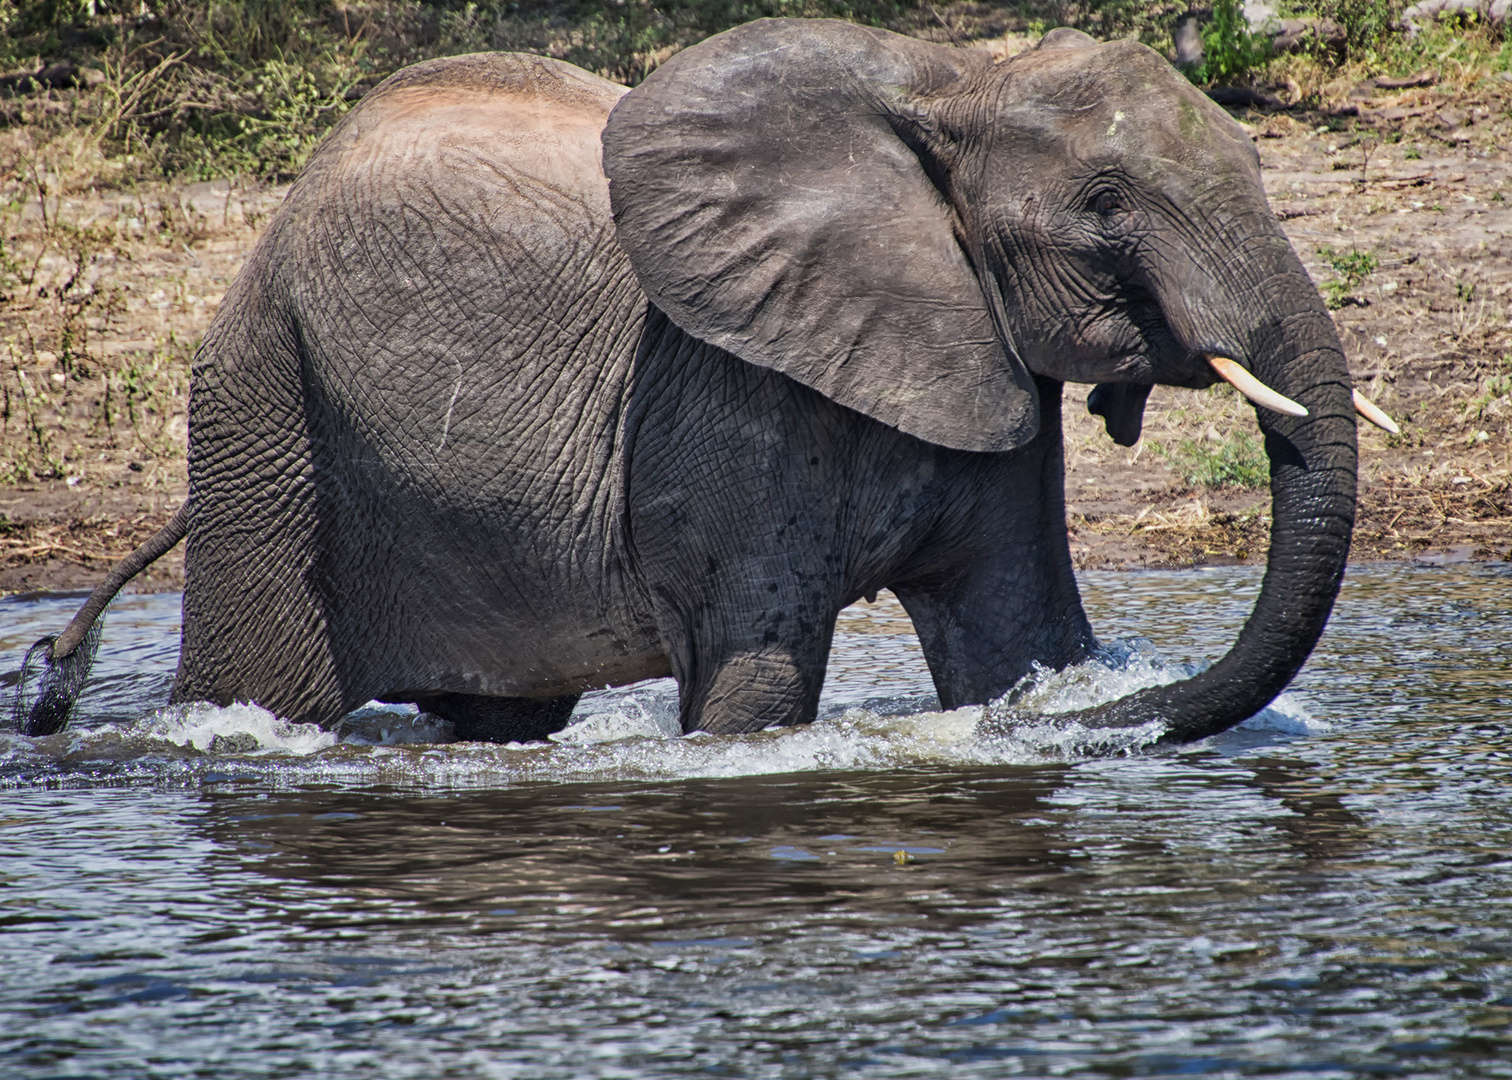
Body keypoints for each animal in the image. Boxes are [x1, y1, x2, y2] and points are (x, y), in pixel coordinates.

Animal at [20, 16, 1372, 744]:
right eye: (1104, 207)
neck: (952, 78)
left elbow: (1015, 632)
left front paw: (1017, 704)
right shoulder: (721, 382)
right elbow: (755, 681)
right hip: (261, 403)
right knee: (266, 690)